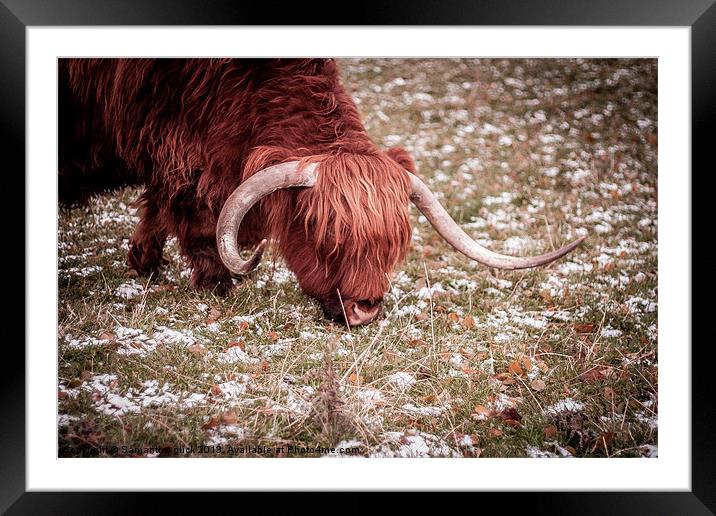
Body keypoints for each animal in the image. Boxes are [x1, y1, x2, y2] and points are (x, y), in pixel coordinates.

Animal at [56, 59, 580, 326]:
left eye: (393, 248)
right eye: (325, 237)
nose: (365, 311)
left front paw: (144, 261)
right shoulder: (173, 147)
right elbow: (188, 210)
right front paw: (217, 284)